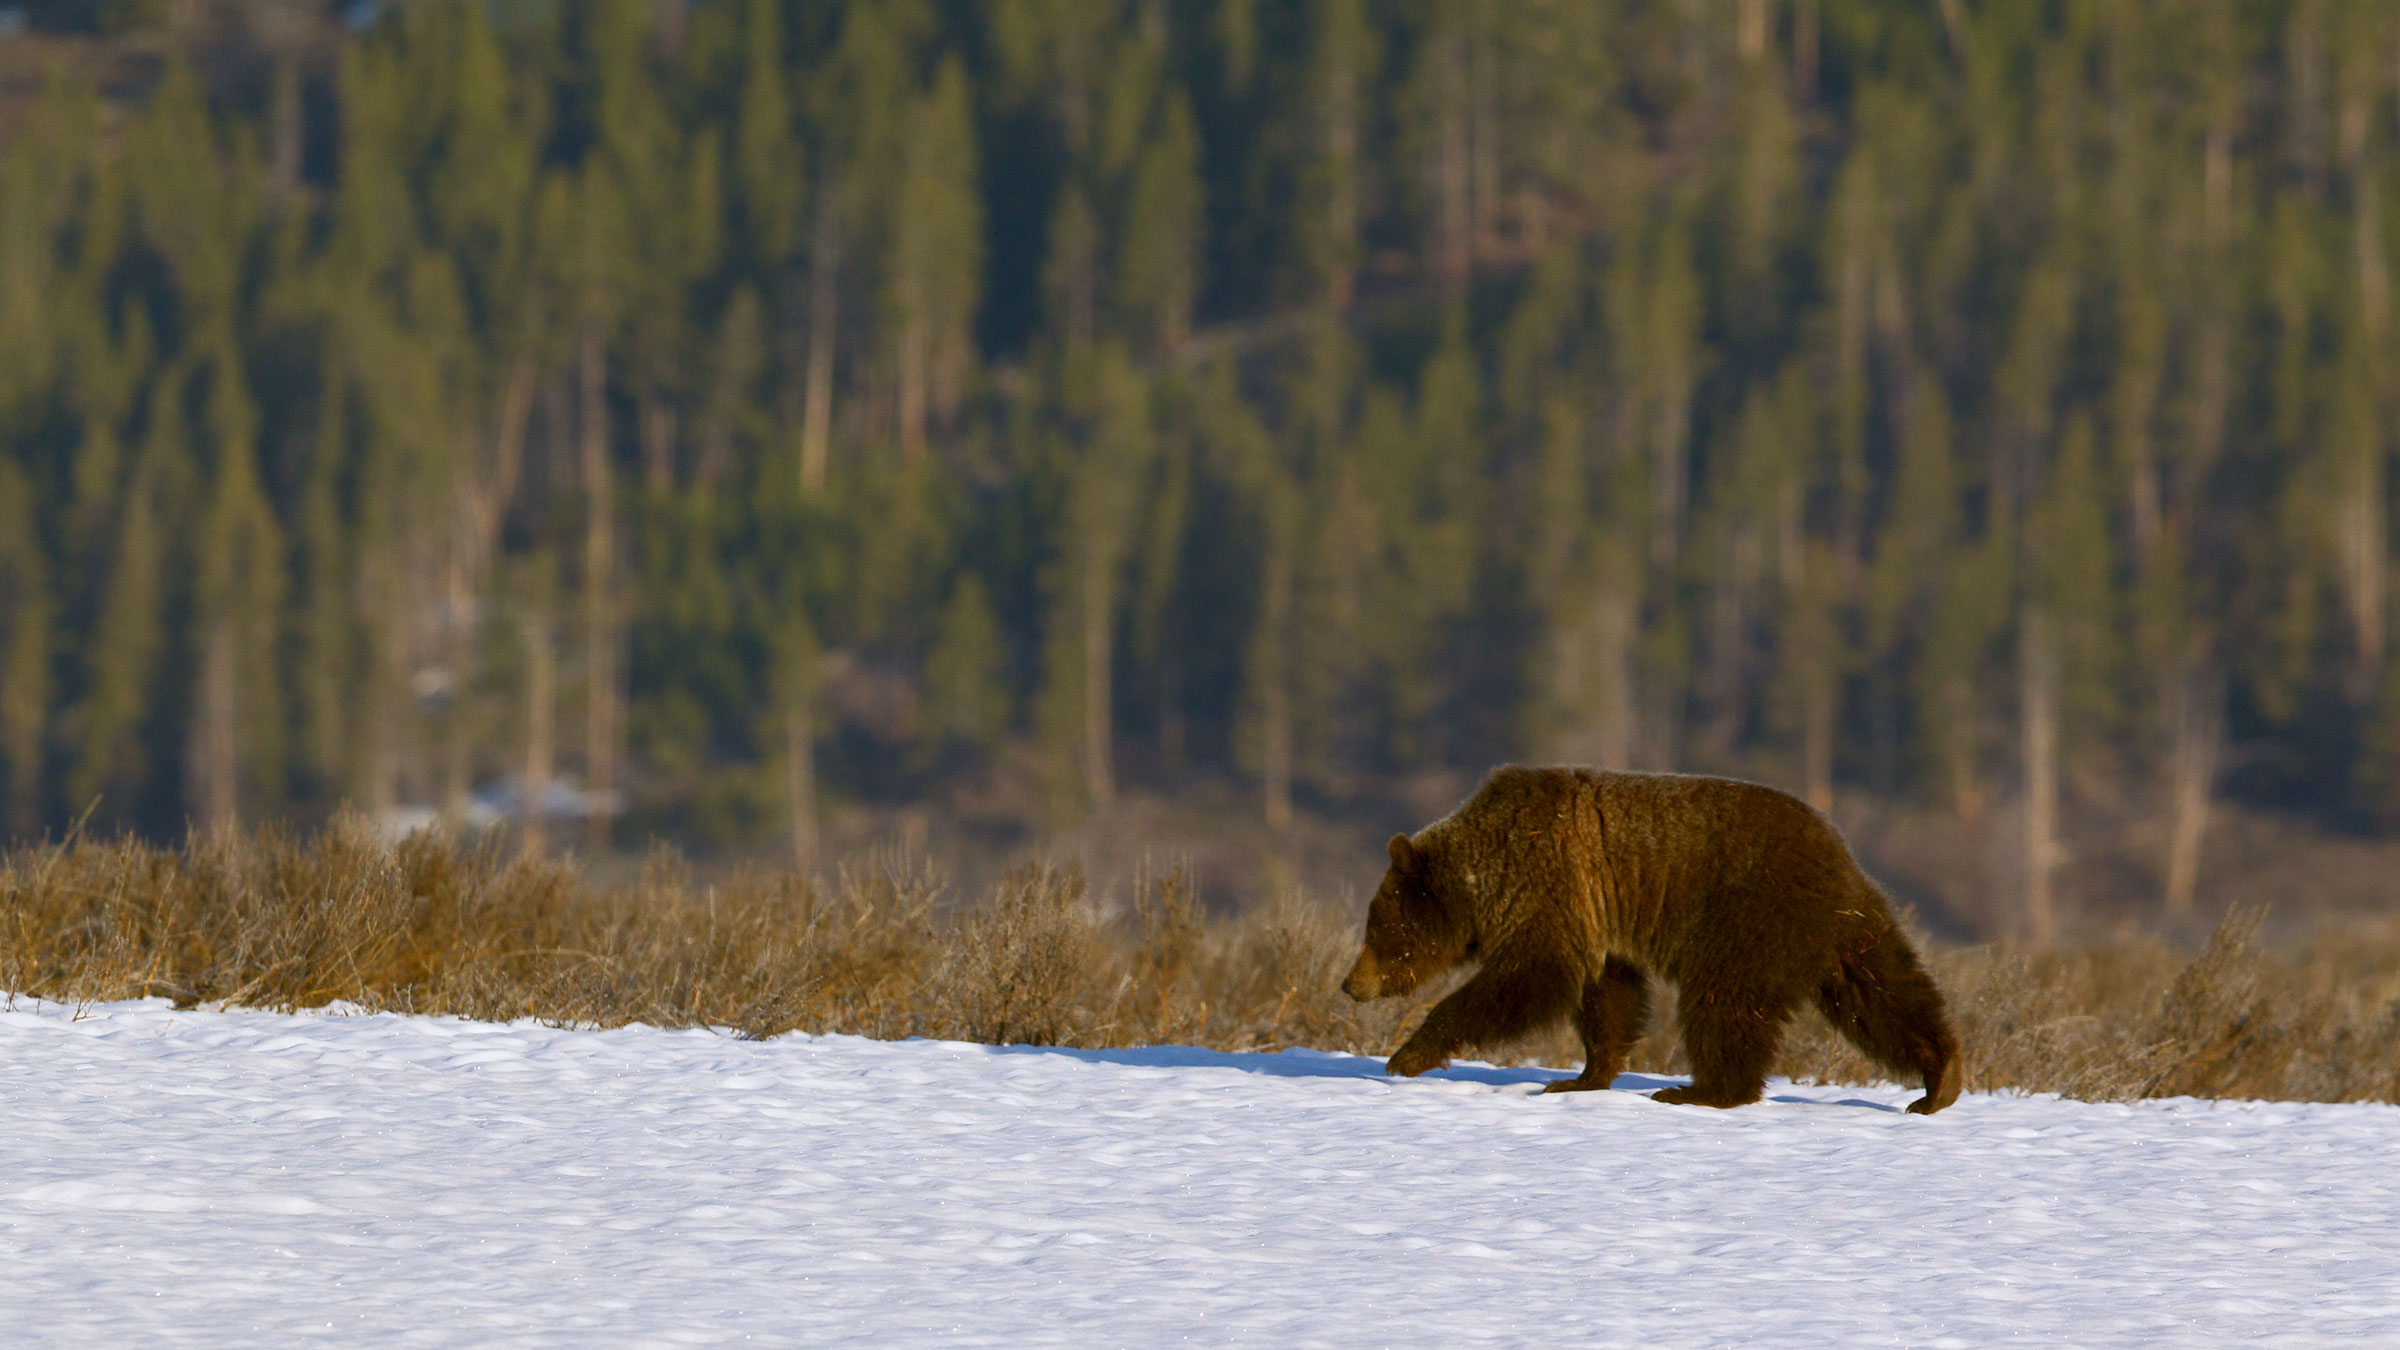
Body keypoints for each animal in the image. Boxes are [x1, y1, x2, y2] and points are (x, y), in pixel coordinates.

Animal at [1340, 766, 1962, 1113]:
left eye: (1375, 927)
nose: (1350, 983)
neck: (1482, 877)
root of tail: (1836, 852)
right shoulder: (1596, 917)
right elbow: (1605, 998)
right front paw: (1580, 1078)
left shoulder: (1546, 885)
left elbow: (1529, 979)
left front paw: (1407, 1054)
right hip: (1845, 928)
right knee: (1884, 991)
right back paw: (1940, 1080)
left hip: (1745, 915)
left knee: (1723, 1003)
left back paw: (1700, 1090)